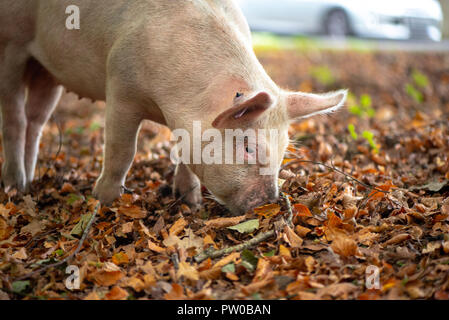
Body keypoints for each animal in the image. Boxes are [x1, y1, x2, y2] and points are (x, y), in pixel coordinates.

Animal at [0, 0, 346, 215]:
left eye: (283, 149)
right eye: (248, 147)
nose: (266, 203)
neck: (167, 105)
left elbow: (186, 155)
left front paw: (189, 202)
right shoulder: (121, 86)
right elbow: (122, 151)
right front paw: (103, 200)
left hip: (46, 70)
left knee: (36, 120)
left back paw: (29, 182)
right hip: (12, 44)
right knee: (15, 118)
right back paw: (15, 185)